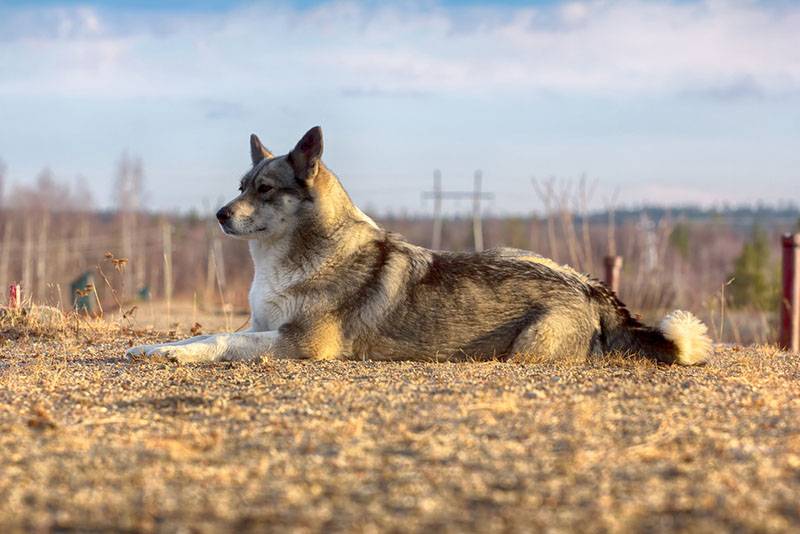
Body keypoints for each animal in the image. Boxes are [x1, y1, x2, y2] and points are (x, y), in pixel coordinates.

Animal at [126, 127, 712, 366]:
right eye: (241, 185)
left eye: (265, 189)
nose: (220, 215)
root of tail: (590, 285)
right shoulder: (260, 326)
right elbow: (205, 335)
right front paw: (153, 349)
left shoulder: (298, 344)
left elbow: (220, 342)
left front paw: (175, 355)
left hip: (525, 348)